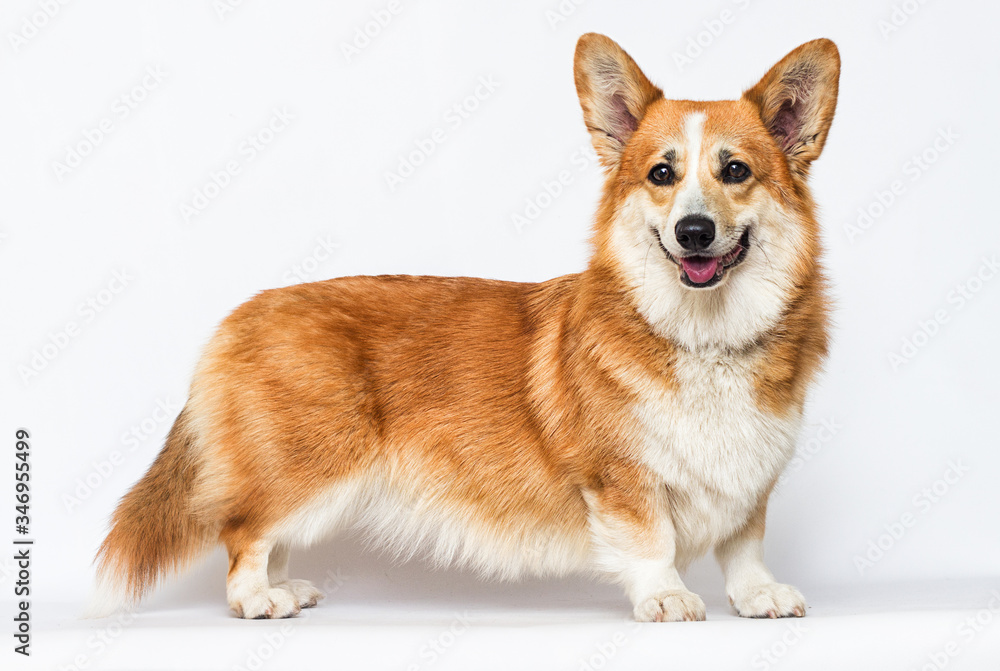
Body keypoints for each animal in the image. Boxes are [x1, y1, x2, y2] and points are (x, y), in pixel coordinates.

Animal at [94, 34, 840, 624]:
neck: (702, 336)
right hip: (310, 466)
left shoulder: (751, 476)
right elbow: (649, 539)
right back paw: (258, 599)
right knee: (246, 531)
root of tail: (237, 316)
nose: (694, 231)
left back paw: (287, 588)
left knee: (269, 537)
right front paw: (666, 596)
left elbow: (744, 543)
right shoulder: (621, 478)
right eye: (662, 173)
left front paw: (757, 595)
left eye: (735, 171)